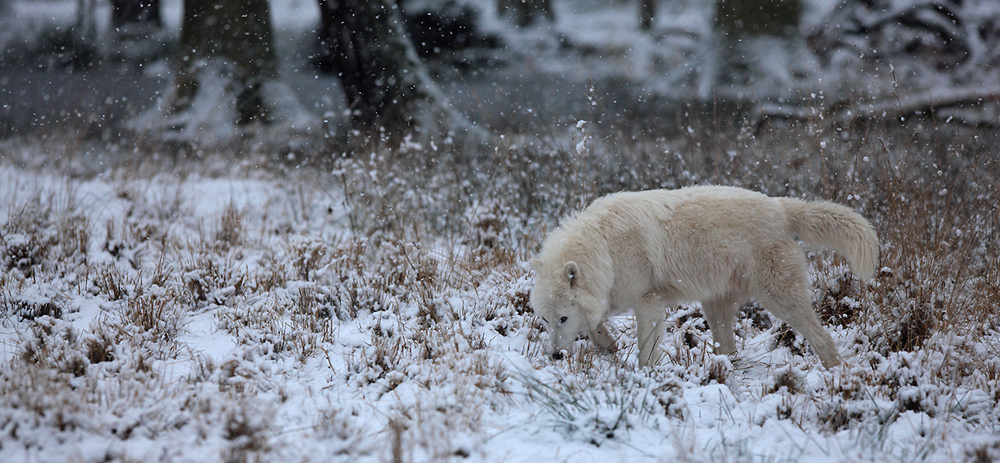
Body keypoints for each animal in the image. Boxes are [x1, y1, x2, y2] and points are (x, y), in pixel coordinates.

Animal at [528, 186, 880, 370]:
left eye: (562, 318)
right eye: (544, 320)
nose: (555, 355)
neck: (605, 248)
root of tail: (780, 207)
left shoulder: (648, 302)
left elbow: (646, 349)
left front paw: (645, 376)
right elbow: (596, 328)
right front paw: (609, 347)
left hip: (780, 300)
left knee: (821, 336)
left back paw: (836, 372)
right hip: (715, 308)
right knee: (729, 347)